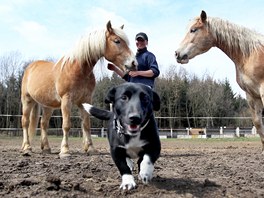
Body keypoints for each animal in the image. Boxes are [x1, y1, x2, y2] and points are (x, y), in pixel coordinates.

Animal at [21, 20, 137, 158]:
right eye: (117, 41)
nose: (134, 63)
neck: (78, 69)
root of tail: (30, 67)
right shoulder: (66, 100)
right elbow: (66, 125)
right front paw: (65, 150)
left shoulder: (85, 100)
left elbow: (86, 125)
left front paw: (91, 149)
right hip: (27, 100)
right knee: (25, 122)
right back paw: (26, 148)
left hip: (47, 105)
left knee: (43, 124)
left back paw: (46, 148)